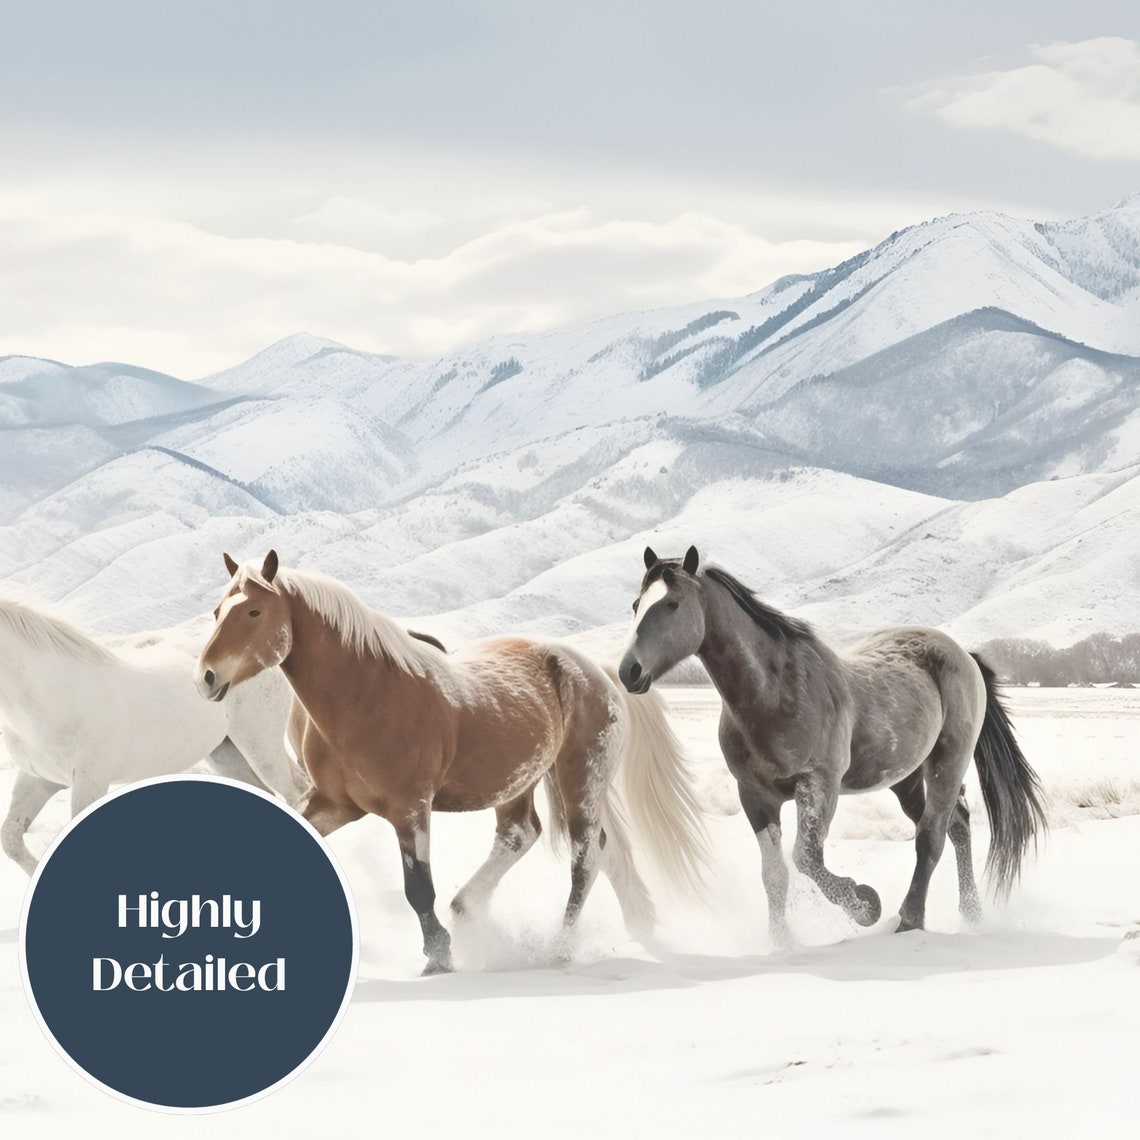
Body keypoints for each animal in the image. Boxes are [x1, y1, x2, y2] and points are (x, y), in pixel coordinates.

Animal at [0, 593, 311, 874]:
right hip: (226, 754)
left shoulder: (91, 781)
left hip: (259, 743)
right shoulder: (38, 779)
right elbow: (10, 839)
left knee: (295, 791)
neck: (51, 699)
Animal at [196, 551, 707, 974]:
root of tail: (598, 671)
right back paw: (472, 910)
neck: (365, 695)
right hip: (521, 782)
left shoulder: (410, 808)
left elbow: (418, 889)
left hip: (579, 777)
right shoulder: (332, 805)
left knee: (586, 857)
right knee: (523, 836)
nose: (207, 677)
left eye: (254, 611)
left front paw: (438, 957)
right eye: (218, 611)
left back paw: (557, 948)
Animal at [617, 546, 1046, 942]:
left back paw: (909, 919)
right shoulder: (755, 796)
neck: (774, 694)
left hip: (948, 762)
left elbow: (806, 859)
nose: (628, 671)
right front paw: (780, 941)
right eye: (636, 605)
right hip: (906, 778)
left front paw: (865, 905)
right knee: (956, 825)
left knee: (932, 837)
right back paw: (971, 914)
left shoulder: (819, 786)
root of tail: (964, 655)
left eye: (672, 604)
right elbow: (774, 874)